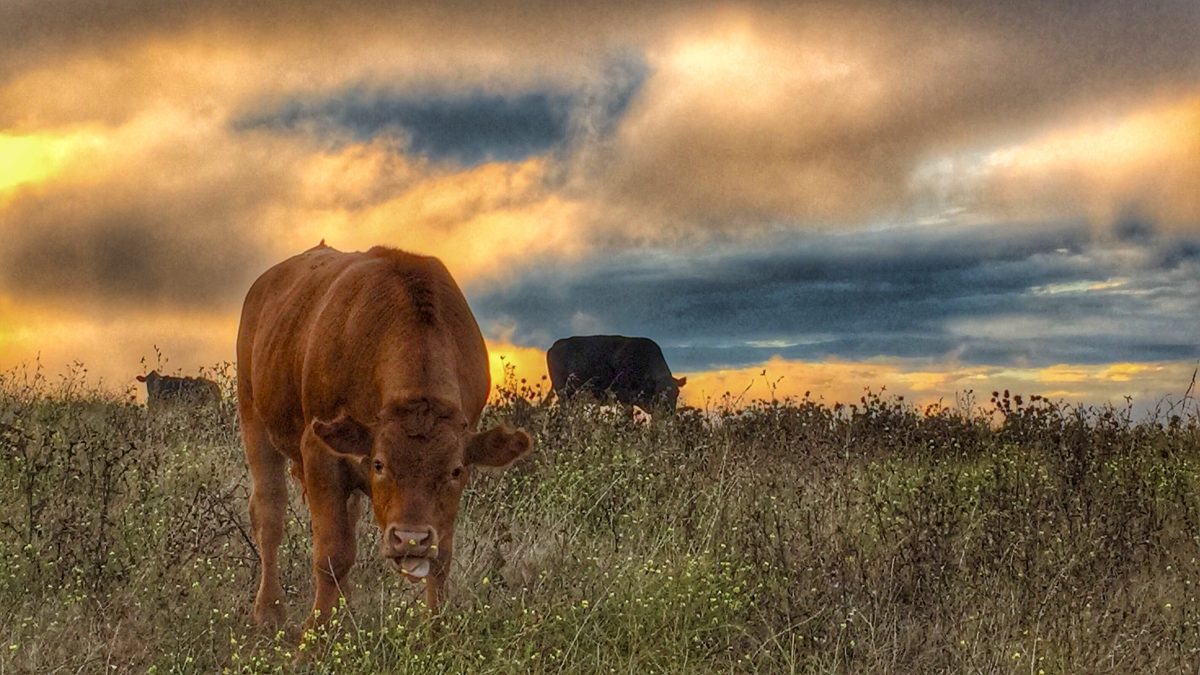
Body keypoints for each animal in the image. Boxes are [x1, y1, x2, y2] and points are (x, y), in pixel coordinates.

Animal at [236, 242, 532, 630]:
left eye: (455, 470)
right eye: (379, 464)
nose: (410, 539)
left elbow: (441, 560)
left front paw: (436, 632)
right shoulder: (321, 454)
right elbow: (332, 555)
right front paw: (314, 636)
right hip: (254, 419)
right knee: (269, 513)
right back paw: (269, 611)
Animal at [547, 335, 687, 410]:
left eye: (677, 393)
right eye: (660, 394)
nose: (669, 413)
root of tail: (553, 346)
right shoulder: (624, 399)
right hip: (563, 393)